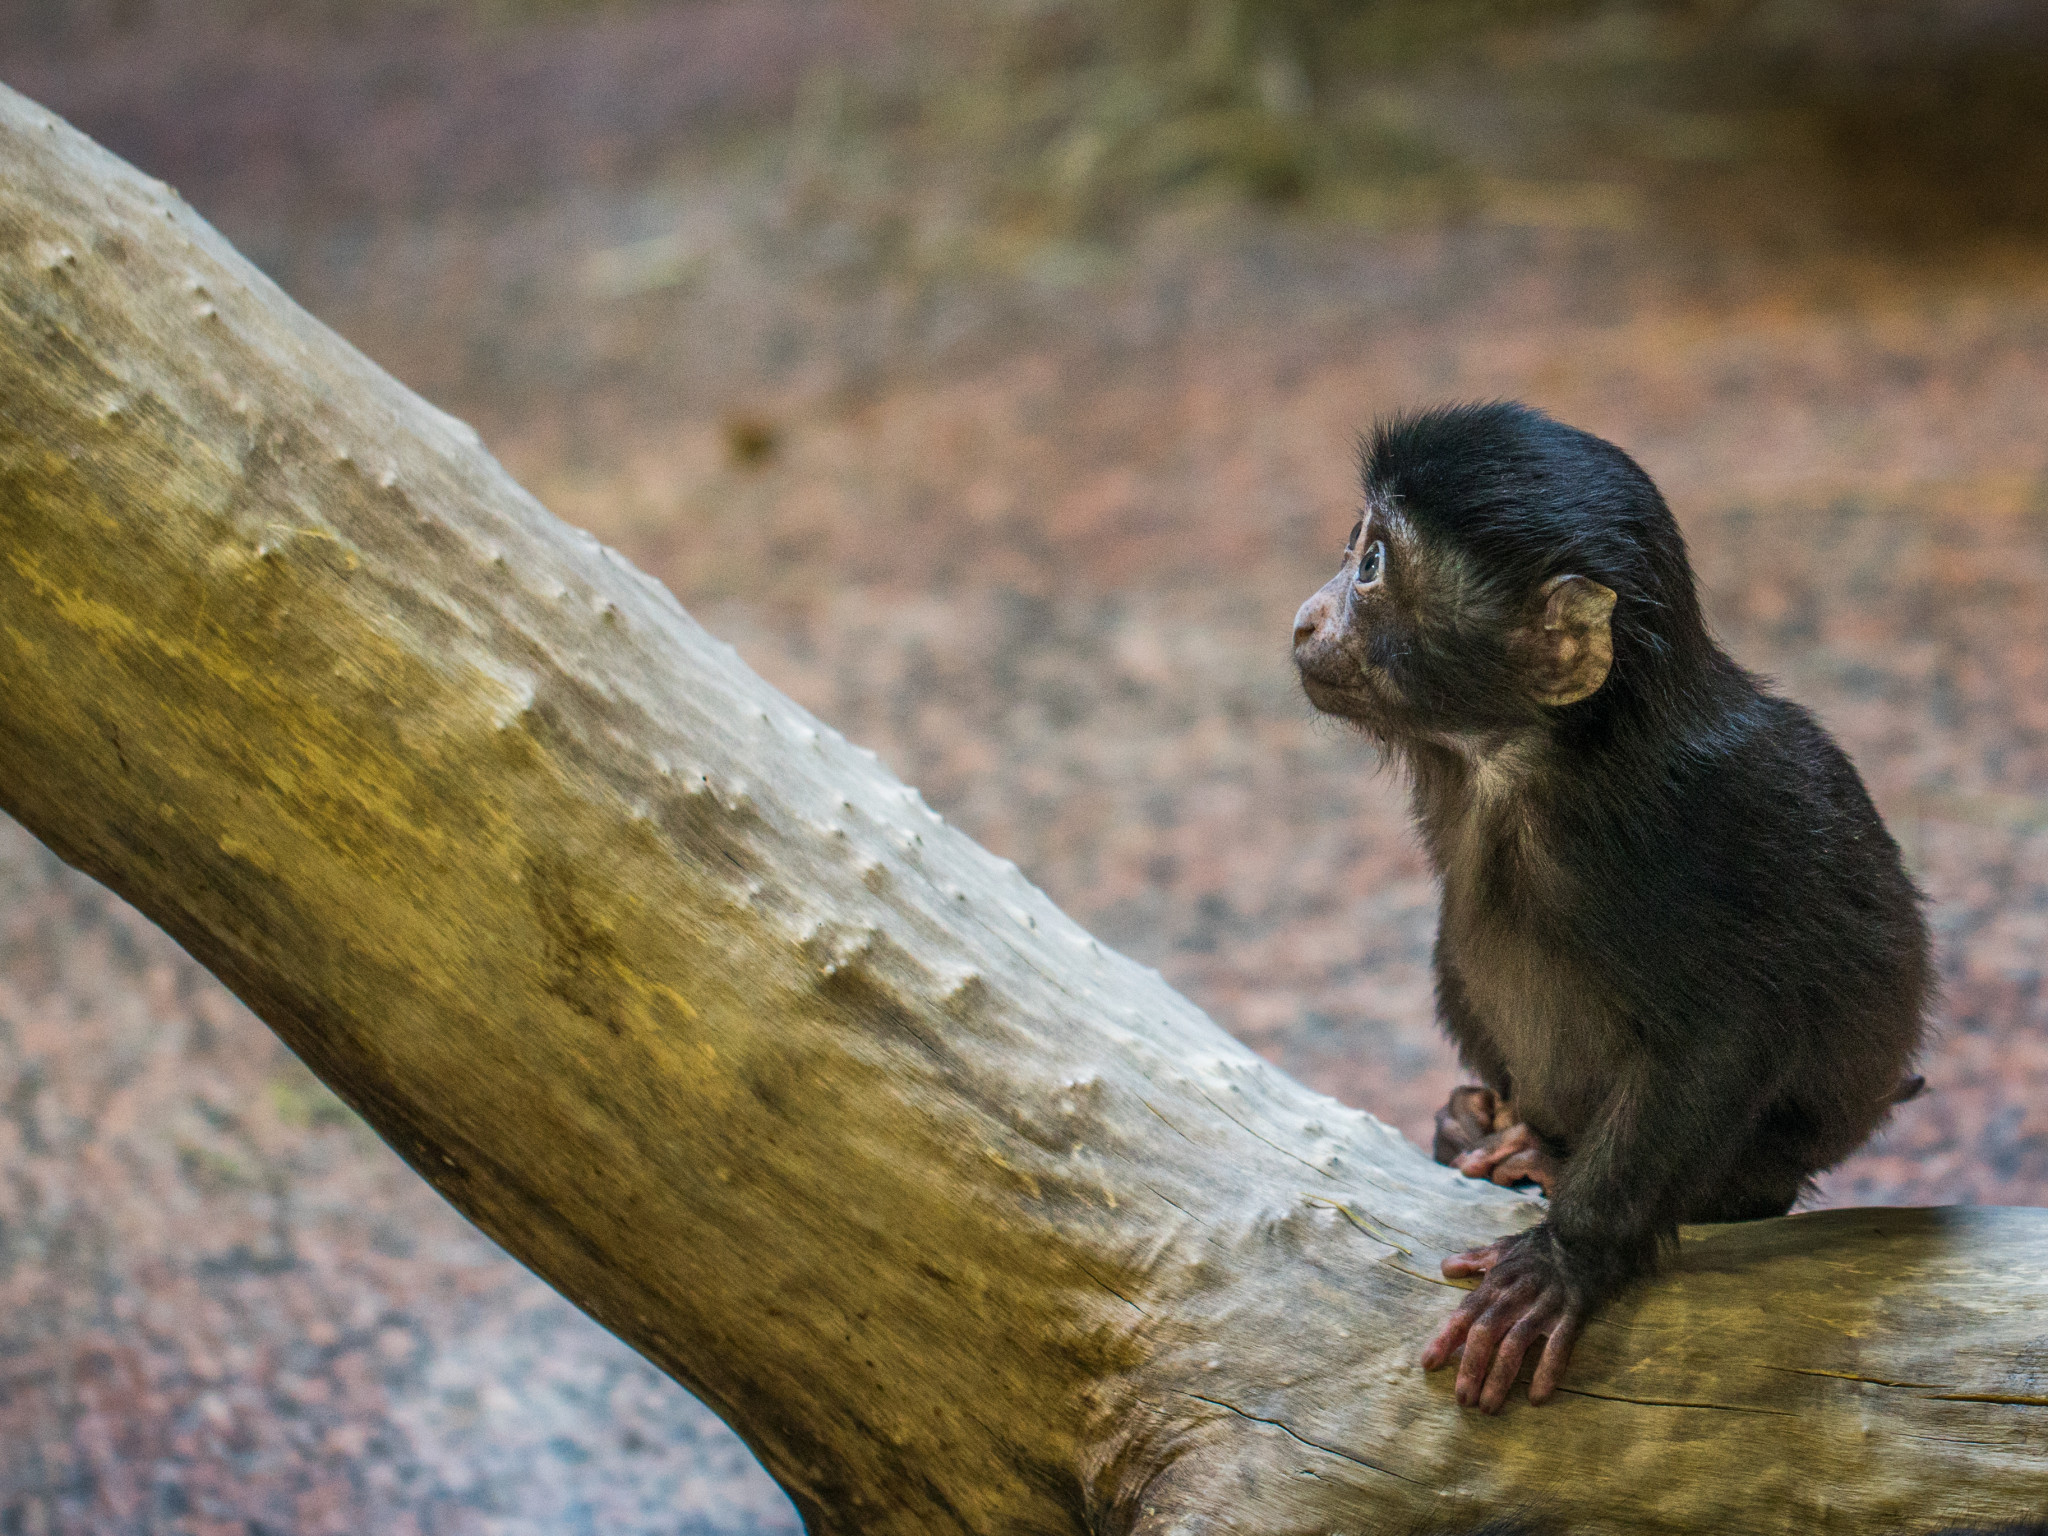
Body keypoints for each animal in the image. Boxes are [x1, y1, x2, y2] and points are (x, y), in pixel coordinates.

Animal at [1290, 402, 1930, 1414]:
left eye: (1373, 565)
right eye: (1354, 545)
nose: (1307, 617)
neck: (1530, 760)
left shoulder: (1665, 836)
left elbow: (1728, 1033)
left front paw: (1567, 1258)